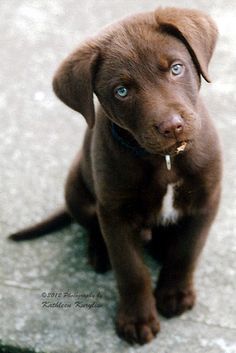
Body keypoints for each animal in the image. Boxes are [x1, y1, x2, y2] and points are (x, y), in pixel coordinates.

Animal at [10, 7, 222, 344]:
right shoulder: (115, 214)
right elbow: (131, 270)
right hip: (76, 188)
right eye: (121, 91)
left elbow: (187, 251)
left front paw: (175, 295)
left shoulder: (207, 199)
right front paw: (136, 320)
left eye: (176, 68)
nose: (172, 126)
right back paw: (100, 253)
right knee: (92, 226)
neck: (165, 161)